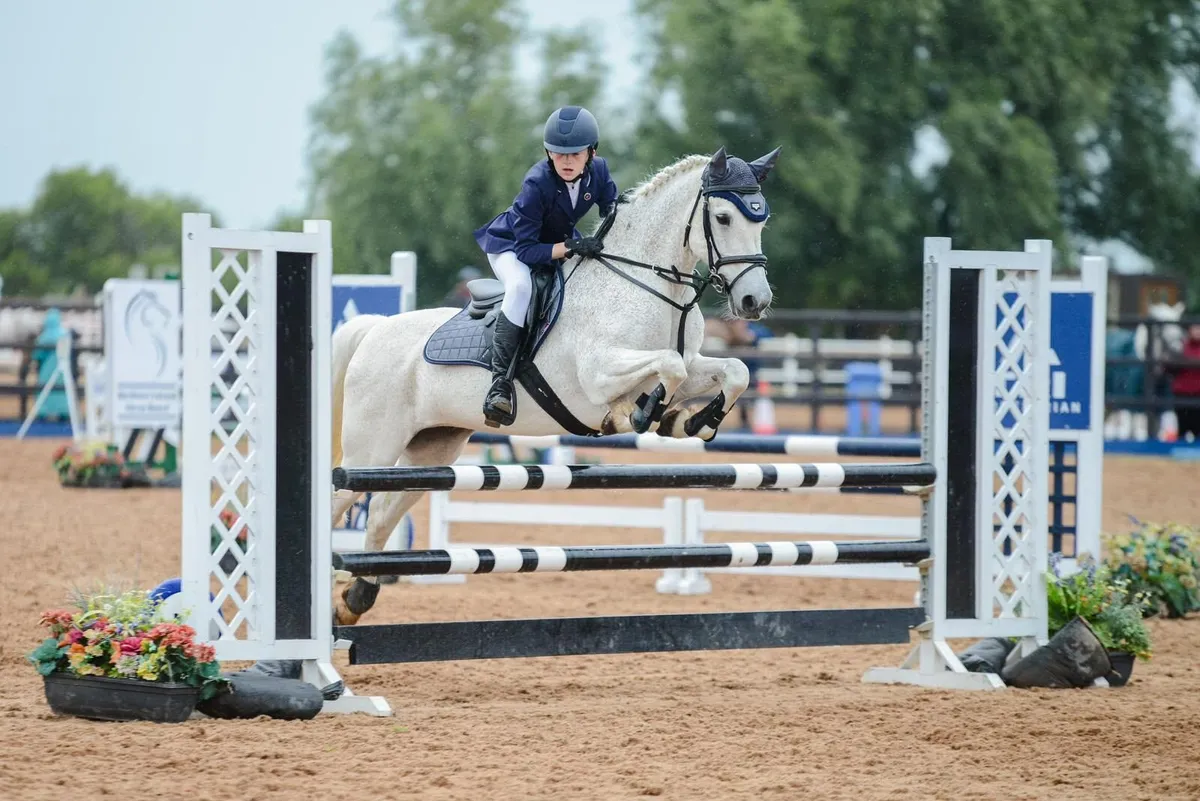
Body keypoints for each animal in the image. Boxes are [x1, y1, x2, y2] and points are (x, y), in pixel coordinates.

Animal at [327, 146, 782, 625]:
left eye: (761, 220)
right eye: (724, 218)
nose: (754, 302)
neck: (649, 286)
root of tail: (374, 329)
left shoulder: (695, 363)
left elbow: (733, 371)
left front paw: (691, 421)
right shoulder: (599, 372)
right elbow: (668, 367)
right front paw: (639, 413)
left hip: (432, 446)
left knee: (380, 512)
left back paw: (354, 601)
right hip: (373, 447)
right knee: (340, 499)